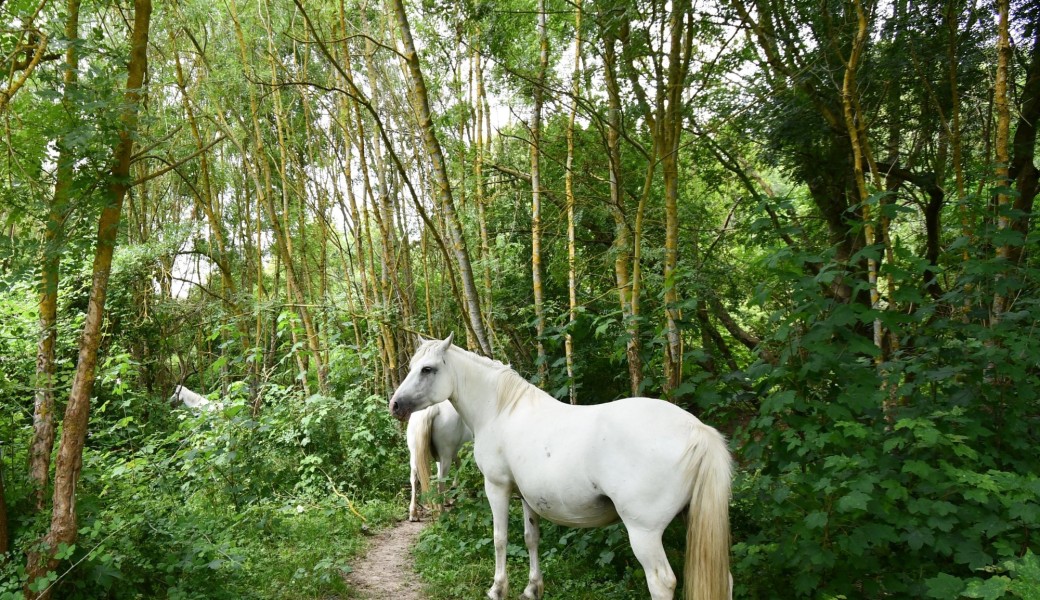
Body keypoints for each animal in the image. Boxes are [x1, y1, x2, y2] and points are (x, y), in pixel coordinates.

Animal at [388, 332, 732, 598]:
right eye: (412, 367)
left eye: (428, 369)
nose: (395, 405)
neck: (501, 409)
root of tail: (697, 430)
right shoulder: (527, 496)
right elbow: (531, 538)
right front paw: (532, 589)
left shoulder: (497, 488)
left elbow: (500, 538)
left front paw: (498, 589)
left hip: (644, 533)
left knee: (661, 582)